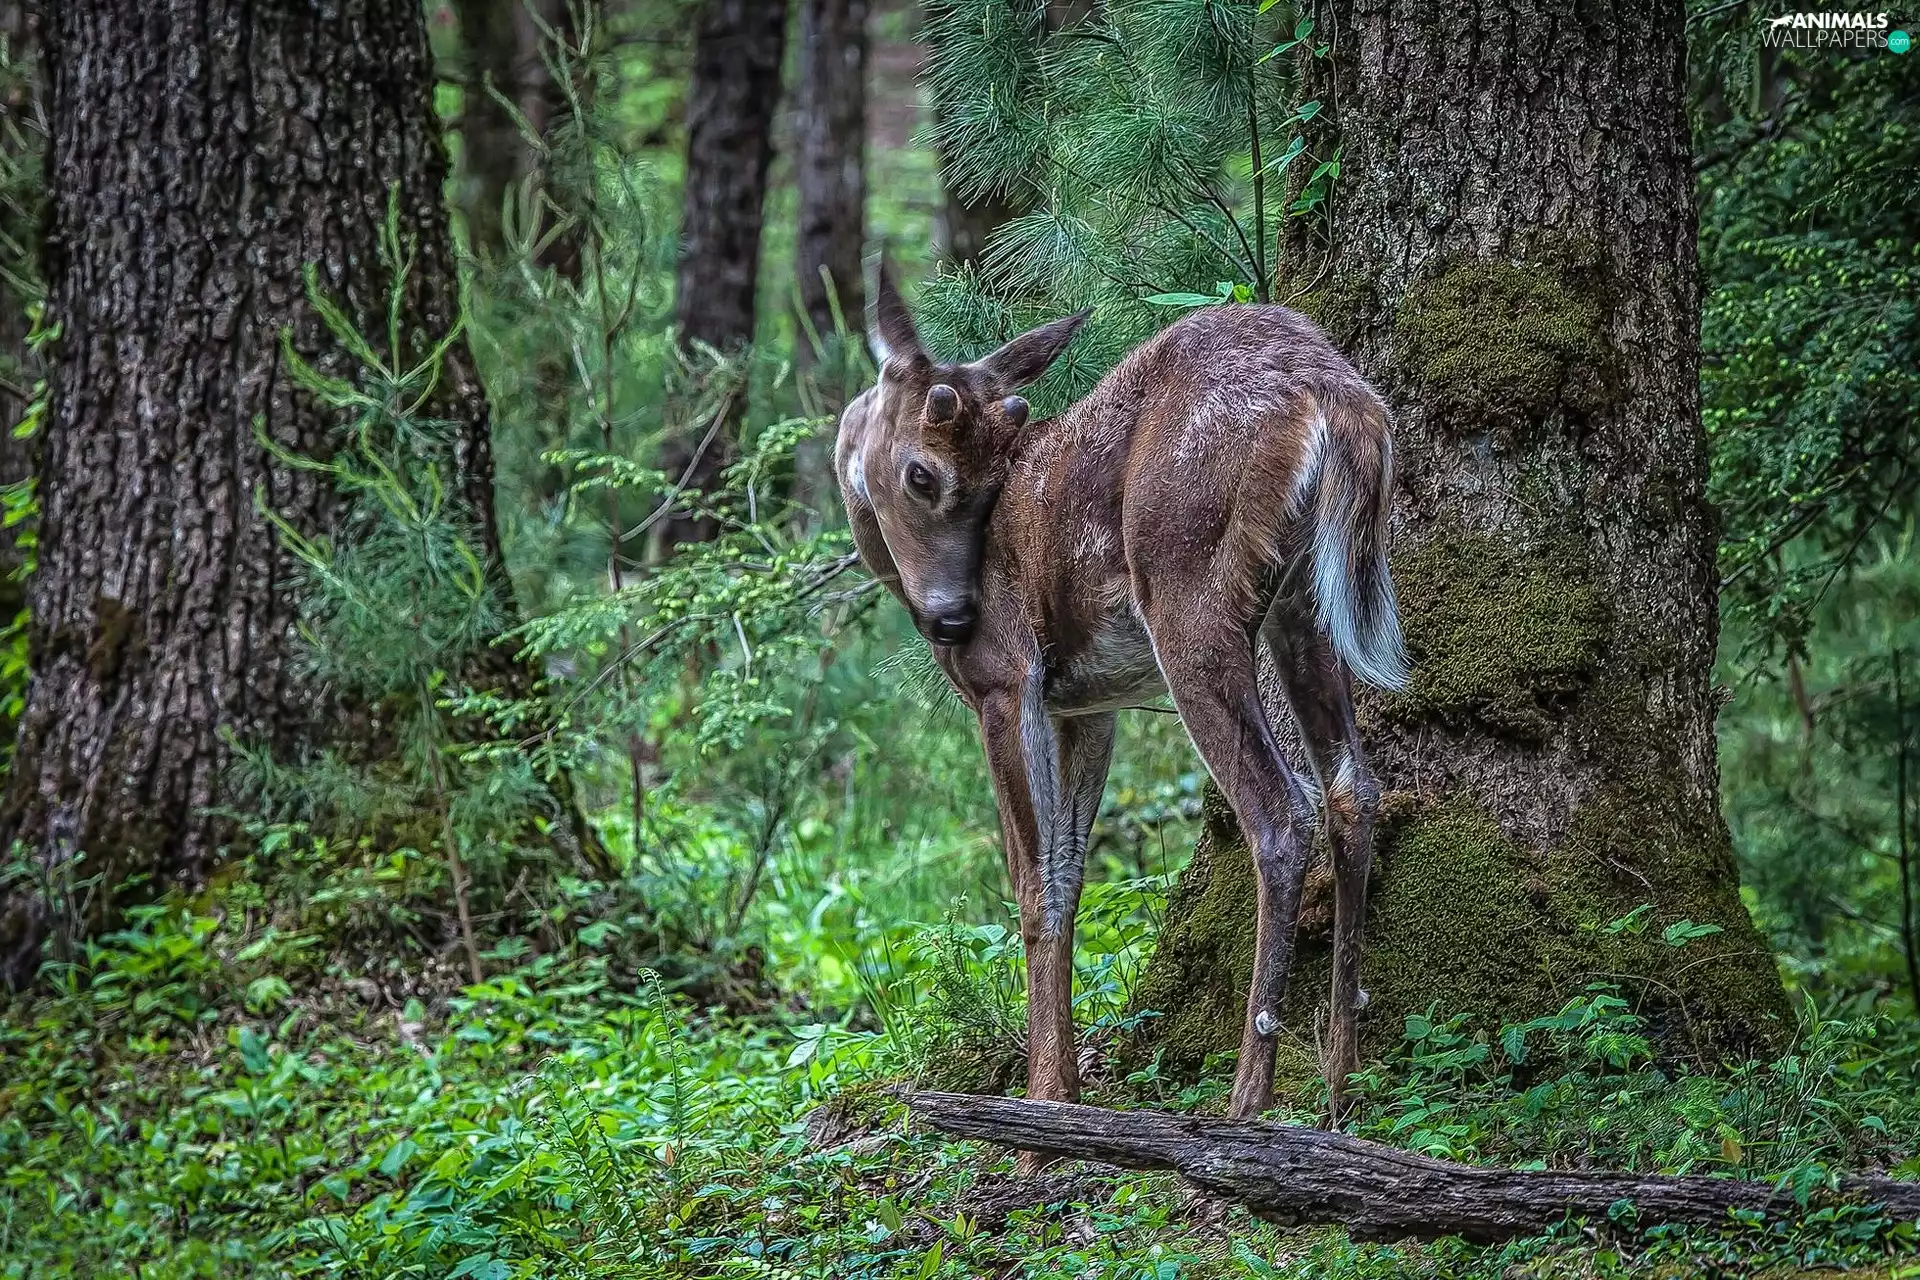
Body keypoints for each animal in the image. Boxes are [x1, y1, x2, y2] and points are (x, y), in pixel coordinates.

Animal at [834, 267, 1406, 1135]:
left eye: (926, 474)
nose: (955, 619)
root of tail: (1335, 393)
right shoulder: (1086, 705)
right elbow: (1071, 873)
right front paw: (1064, 1094)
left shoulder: (1009, 681)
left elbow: (1033, 884)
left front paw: (1040, 1116)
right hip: (1303, 604)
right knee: (1352, 789)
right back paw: (1339, 1087)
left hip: (1188, 589)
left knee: (1280, 810)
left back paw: (1246, 1099)